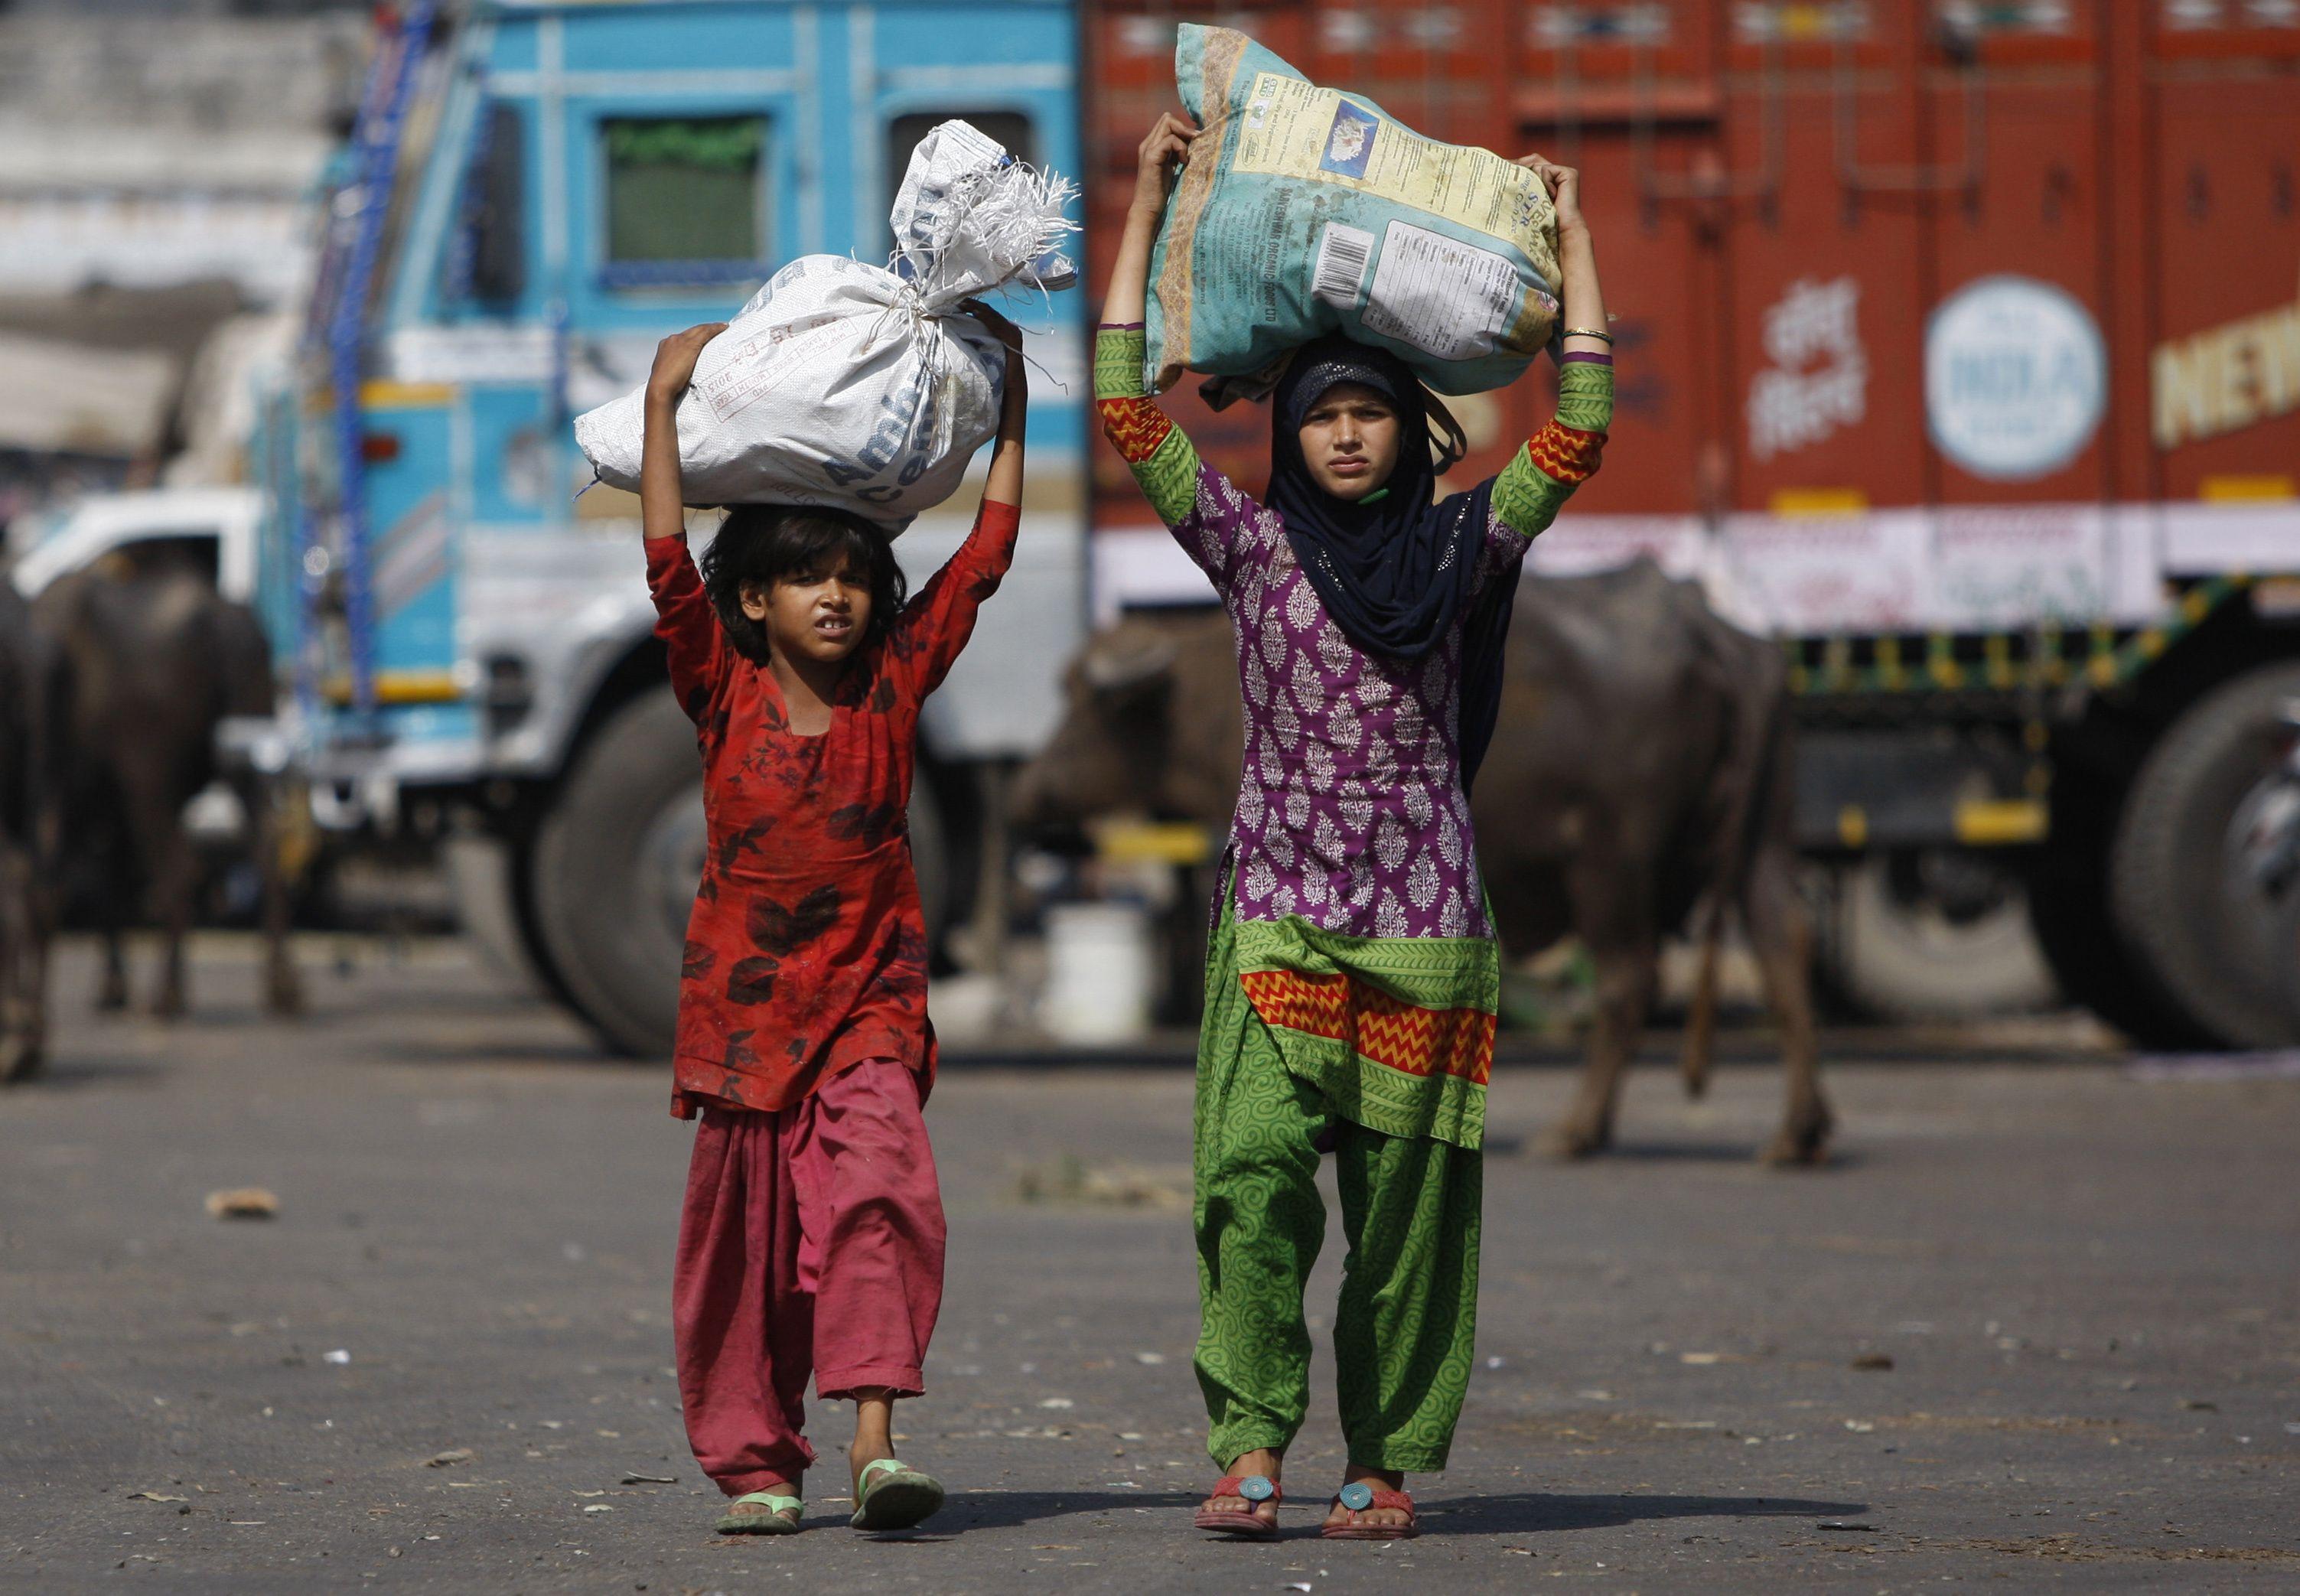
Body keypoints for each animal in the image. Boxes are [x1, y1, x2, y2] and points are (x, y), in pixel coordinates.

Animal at [1021, 568, 1830, 1168]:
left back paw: (1575, 1130)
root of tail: (1706, 629)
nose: (1030, 788)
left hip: (1612, 860)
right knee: (1784, 947)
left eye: (1082, 701)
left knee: (1630, 980)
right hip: (1761, 840)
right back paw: (1798, 1132)